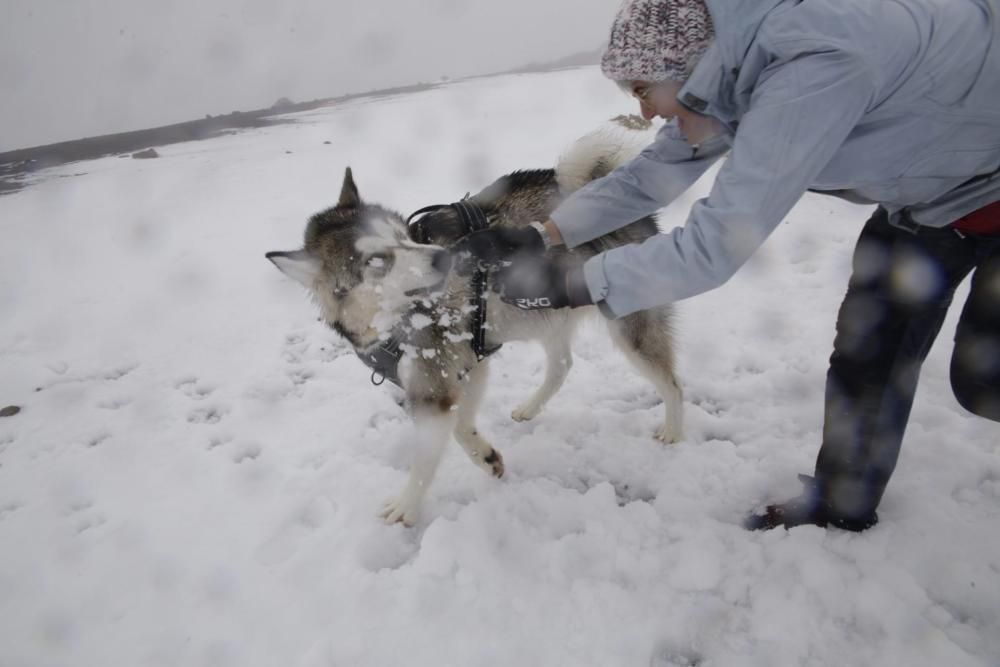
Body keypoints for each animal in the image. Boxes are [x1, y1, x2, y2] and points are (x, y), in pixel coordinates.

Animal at [270, 118, 684, 528]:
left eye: (403, 237)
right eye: (375, 261)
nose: (444, 258)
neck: (392, 322)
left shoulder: (439, 383)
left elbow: (426, 456)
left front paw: (406, 506)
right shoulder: (466, 365)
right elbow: (460, 425)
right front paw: (485, 456)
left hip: (628, 322)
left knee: (671, 382)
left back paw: (674, 430)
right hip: (546, 313)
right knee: (562, 365)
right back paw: (531, 407)